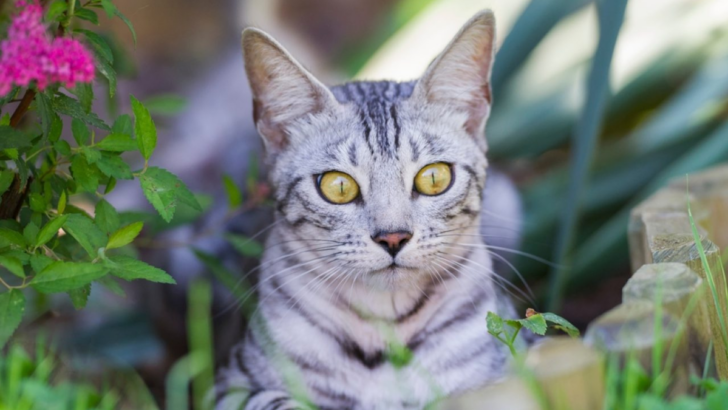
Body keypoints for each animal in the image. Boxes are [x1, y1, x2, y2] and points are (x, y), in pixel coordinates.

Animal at [212, 9, 524, 410]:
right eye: (338, 186)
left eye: (434, 178)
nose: (393, 237)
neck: (385, 334)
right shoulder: (230, 385)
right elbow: (280, 402)